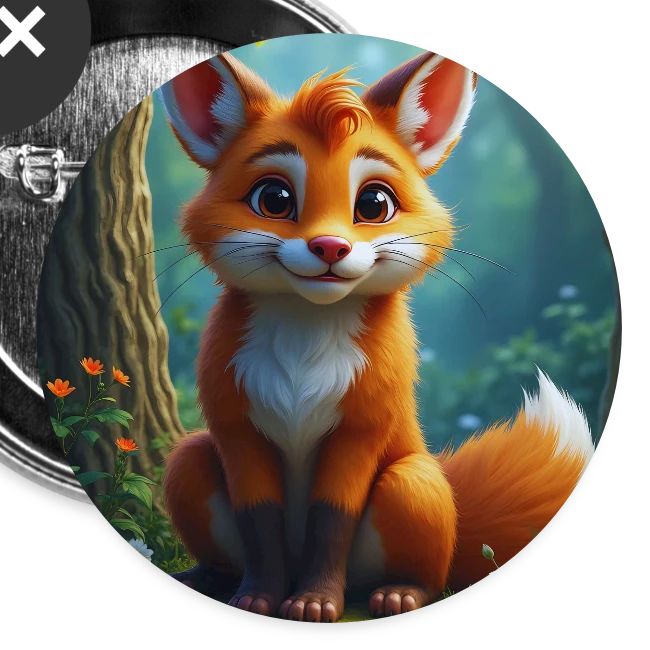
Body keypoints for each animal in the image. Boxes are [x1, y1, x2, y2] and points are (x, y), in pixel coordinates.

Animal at [160, 50, 595, 622]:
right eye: (274, 198)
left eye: (373, 205)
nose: (329, 246)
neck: (305, 346)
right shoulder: (236, 427)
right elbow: (261, 521)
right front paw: (258, 598)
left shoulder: (362, 425)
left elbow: (331, 519)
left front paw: (315, 602)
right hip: (188, 462)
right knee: (212, 515)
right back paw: (208, 577)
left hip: (412, 484)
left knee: (429, 576)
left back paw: (398, 592)